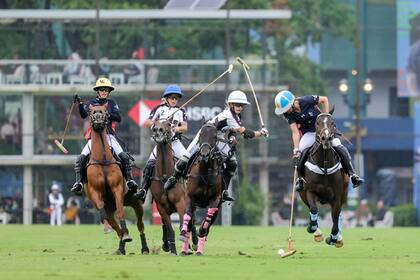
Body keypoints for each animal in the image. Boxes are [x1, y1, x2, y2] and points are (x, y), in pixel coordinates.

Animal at [85, 105, 149, 254]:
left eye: (105, 112)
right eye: (91, 112)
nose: (98, 118)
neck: (102, 159)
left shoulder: (118, 188)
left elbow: (121, 212)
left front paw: (127, 234)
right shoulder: (95, 191)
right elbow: (101, 209)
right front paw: (108, 228)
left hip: (135, 202)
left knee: (140, 224)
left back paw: (144, 247)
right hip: (110, 208)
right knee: (115, 226)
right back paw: (121, 246)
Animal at [150, 119, 198, 255]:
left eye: (169, 124)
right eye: (155, 123)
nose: (158, 130)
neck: (165, 175)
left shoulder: (180, 203)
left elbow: (183, 225)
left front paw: (186, 248)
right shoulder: (161, 207)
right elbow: (169, 228)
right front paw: (171, 249)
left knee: (192, 221)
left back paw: (194, 243)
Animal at [178, 122, 225, 256]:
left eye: (214, 136)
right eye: (200, 135)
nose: (204, 154)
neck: (205, 172)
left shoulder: (215, 199)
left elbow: (208, 218)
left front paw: (201, 232)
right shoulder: (190, 197)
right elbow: (188, 216)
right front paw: (183, 234)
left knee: (209, 221)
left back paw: (199, 247)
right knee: (190, 219)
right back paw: (185, 248)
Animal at [298, 112, 348, 247]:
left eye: (333, 123)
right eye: (317, 123)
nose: (326, 138)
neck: (325, 165)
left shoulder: (337, 197)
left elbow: (335, 217)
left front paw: (333, 238)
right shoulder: (310, 191)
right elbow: (313, 209)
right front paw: (312, 227)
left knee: (338, 215)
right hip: (302, 193)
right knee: (311, 209)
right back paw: (317, 232)